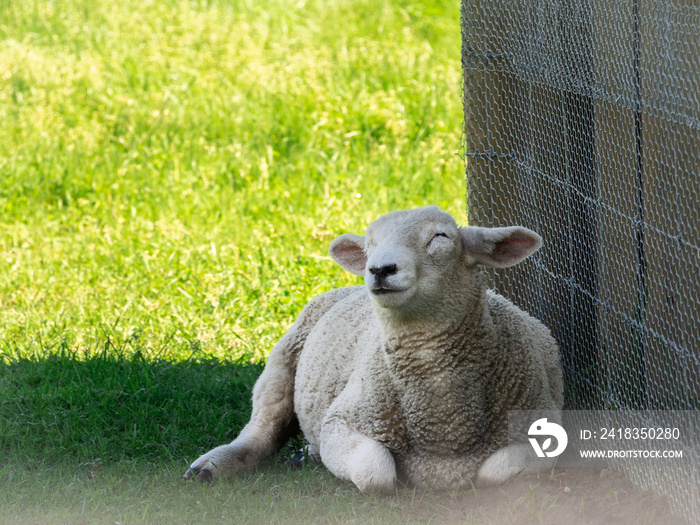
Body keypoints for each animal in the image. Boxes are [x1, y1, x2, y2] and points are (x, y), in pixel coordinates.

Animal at [185, 205, 564, 492]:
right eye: (370, 243)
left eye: (440, 237)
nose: (379, 269)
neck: (443, 425)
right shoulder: (340, 421)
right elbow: (376, 472)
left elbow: (491, 473)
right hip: (282, 360)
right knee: (261, 430)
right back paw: (212, 465)